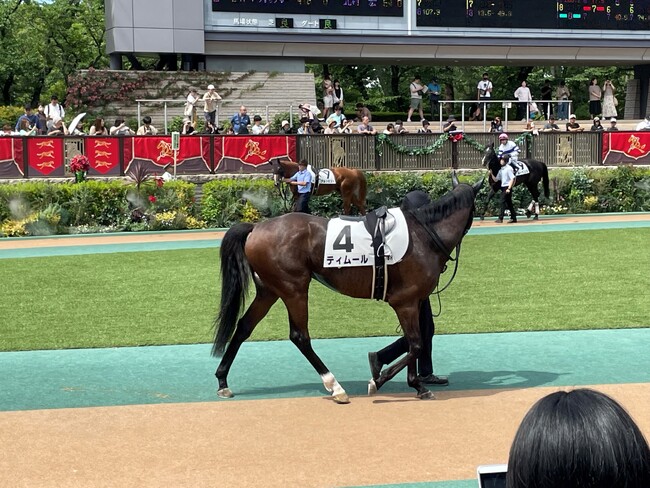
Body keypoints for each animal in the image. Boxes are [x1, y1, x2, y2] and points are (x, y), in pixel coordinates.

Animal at [213, 175, 480, 404]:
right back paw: (335, 386)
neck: (423, 235)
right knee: (300, 336)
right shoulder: (404, 302)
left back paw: (222, 380)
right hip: (293, 289)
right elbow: (415, 344)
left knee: (244, 326)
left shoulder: (415, 301)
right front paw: (378, 381)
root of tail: (256, 228)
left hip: (269, 290)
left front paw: (417, 385)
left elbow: (416, 341)